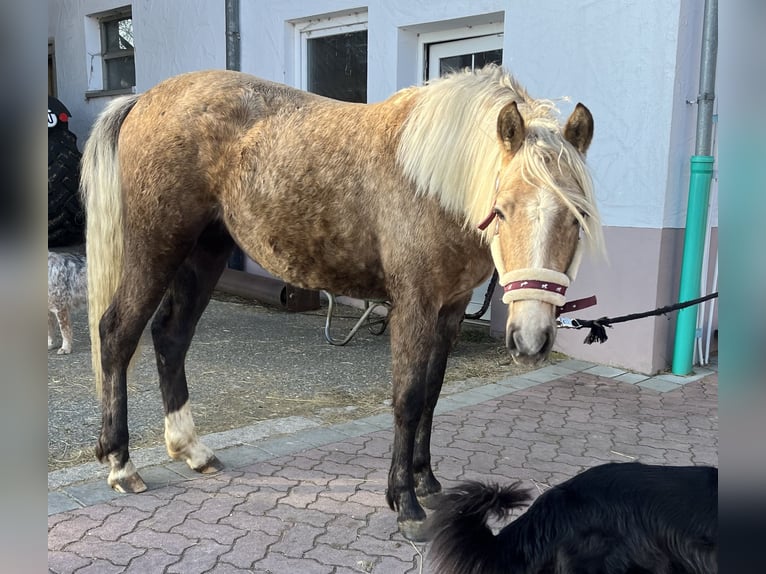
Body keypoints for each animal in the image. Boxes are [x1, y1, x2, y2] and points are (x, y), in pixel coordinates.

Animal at [81, 65, 604, 544]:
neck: (432, 183)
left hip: (206, 250)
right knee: (117, 333)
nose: (530, 341)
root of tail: (143, 99)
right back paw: (121, 462)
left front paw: (427, 482)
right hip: (157, 247)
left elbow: (432, 394)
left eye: (577, 217)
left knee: (171, 336)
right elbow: (408, 398)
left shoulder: (450, 309)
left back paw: (193, 450)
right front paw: (406, 504)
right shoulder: (414, 305)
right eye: (503, 210)